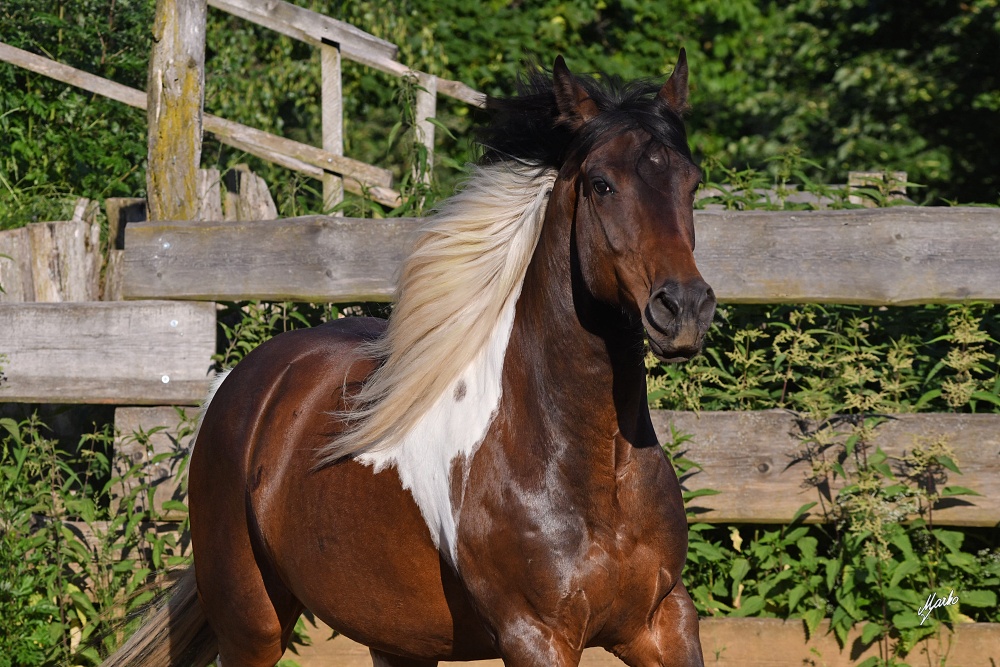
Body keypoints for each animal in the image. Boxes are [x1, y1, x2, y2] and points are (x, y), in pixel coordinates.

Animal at [103, 53, 712, 667]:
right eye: (601, 184)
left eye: (691, 182)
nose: (683, 308)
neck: (592, 469)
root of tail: (240, 386)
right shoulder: (536, 635)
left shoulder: (662, 621)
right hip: (251, 624)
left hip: (395, 635)